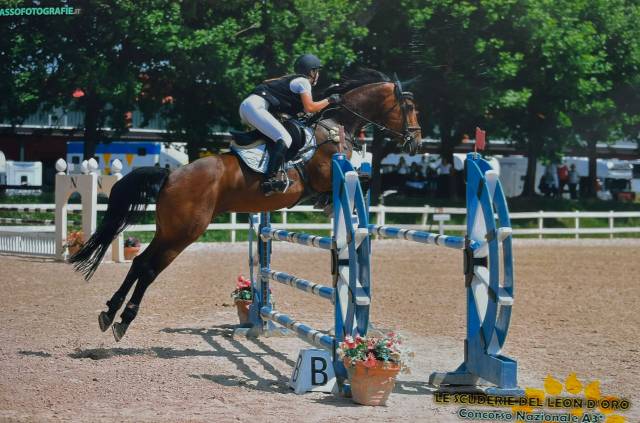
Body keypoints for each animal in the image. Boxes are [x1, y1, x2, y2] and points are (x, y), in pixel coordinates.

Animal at [70, 70, 422, 341]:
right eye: (409, 106)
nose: (416, 142)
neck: (336, 123)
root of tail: (171, 175)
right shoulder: (328, 174)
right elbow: (359, 180)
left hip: (167, 229)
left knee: (140, 262)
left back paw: (109, 313)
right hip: (184, 232)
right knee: (148, 268)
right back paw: (122, 320)